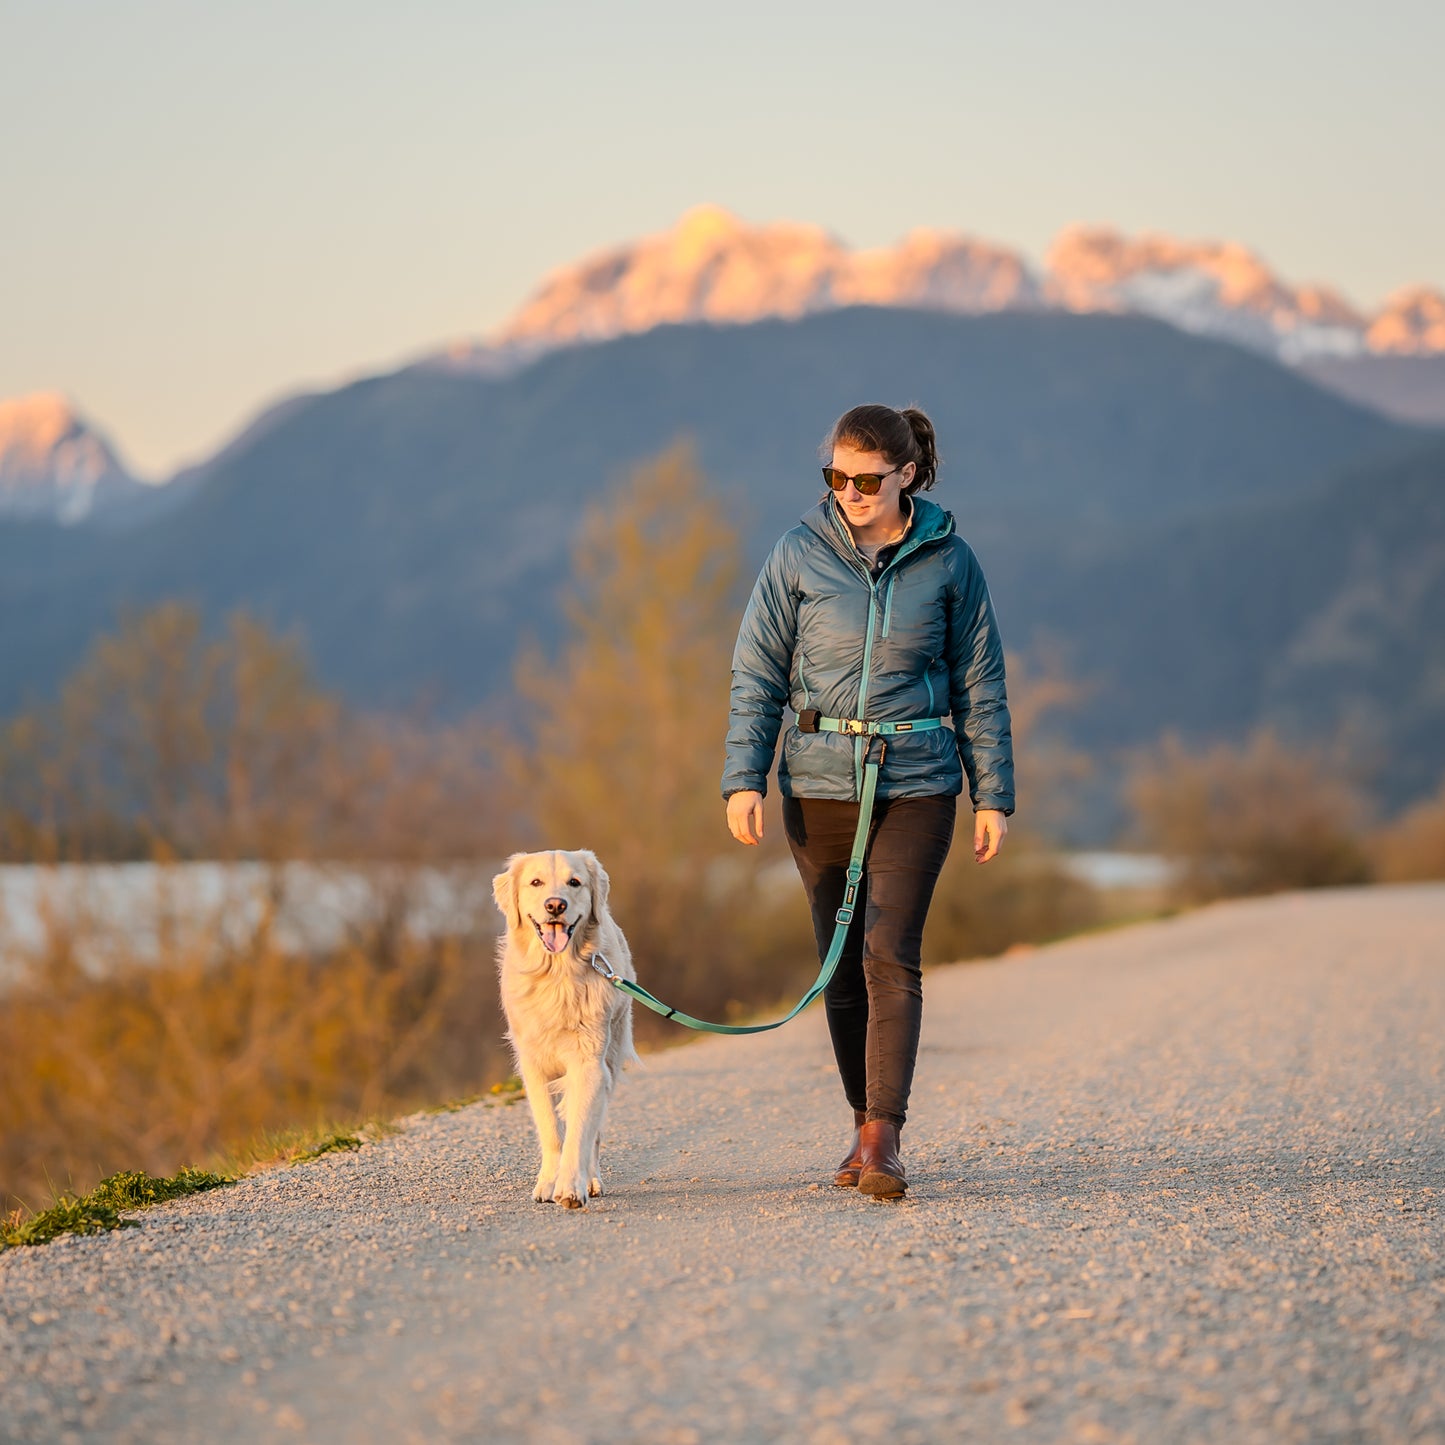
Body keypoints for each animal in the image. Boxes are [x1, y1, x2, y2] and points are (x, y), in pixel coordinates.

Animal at [491, 843, 638, 1208]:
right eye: (536, 882)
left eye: (574, 882)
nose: (555, 905)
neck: (557, 975)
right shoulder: (533, 1066)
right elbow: (551, 1131)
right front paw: (547, 1182)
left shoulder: (588, 1064)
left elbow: (579, 1132)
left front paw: (571, 1186)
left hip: (609, 1060)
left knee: (594, 1134)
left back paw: (592, 1180)